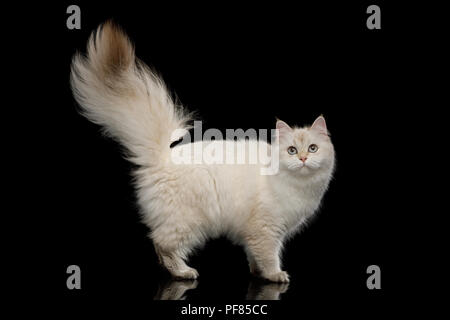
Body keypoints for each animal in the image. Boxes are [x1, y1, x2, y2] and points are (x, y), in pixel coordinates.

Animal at [70, 21, 334, 282]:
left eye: (312, 148)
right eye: (292, 150)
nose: (303, 159)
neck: (299, 187)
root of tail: (162, 157)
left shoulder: (254, 232)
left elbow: (254, 257)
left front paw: (257, 273)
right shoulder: (266, 230)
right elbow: (269, 256)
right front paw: (275, 275)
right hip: (189, 221)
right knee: (162, 243)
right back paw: (183, 272)